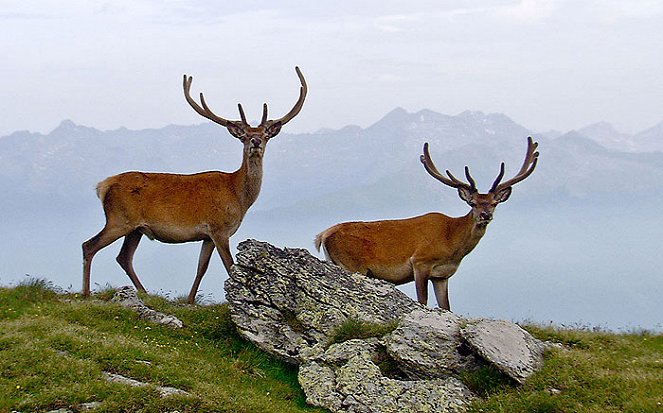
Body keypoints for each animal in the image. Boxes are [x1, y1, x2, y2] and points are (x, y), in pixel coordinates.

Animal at [83, 65, 308, 302]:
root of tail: (103, 186)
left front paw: (190, 301)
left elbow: (201, 268)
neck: (239, 195)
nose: (255, 141)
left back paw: (145, 293)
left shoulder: (207, 236)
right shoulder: (219, 228)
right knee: (89, 246)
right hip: (119, 219)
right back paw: (87, 293)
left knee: (123, 257)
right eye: (244, 136)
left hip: (135, 228)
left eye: (265, 135)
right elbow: (230, 267)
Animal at [316, 138, 540, 308]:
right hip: (352, 265)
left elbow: (446, 307)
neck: (452, 244)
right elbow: (422, 301)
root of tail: (322, 235)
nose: (485, 215)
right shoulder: (420, 262)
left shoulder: (442, 275)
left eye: (494, 203)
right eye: (473, 203)